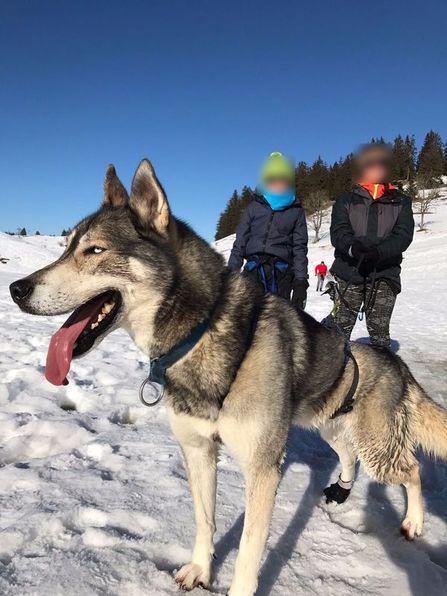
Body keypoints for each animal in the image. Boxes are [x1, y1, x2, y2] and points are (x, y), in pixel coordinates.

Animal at [9, 159, 447, 596]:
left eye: (95, 250)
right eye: (67, 247)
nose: (16, 288)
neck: (202, 333)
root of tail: (395, 363)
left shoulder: (263, 470)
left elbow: (249, 553)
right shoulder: (198, 450)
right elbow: (205, 520)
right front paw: (201, 569)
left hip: (377, 449)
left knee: (411, 469)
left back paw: (414, 521)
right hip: (331, 427)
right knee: (349, 454)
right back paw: (342, 489)